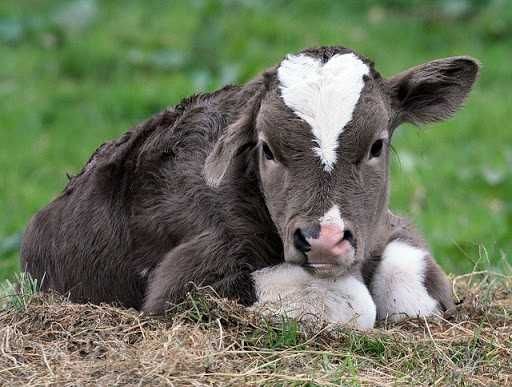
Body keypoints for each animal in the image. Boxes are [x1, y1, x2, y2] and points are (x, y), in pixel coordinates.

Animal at [19, 44, 476, 328]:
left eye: (377, 145)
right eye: (267, 149)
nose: (324, 240)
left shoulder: (386, 226)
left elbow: (413, 278)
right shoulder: (182, 283)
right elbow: (354, 302)